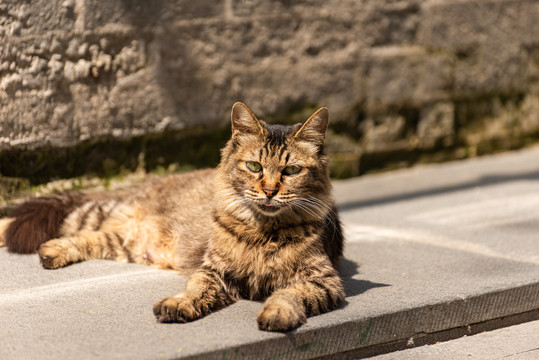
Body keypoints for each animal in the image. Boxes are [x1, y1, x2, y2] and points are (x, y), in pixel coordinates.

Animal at [0, 101, 346, 332]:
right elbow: (195, 291)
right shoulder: (212, 271)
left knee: (90, 238)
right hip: (103, 215)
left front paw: (276, 314)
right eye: (254, 167)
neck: (263, 231)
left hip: (127, 243)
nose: (271, 190)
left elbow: (288, 295)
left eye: (291, 171)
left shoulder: (323, 282)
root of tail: (151, 182)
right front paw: (178, 305)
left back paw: (51, 252)